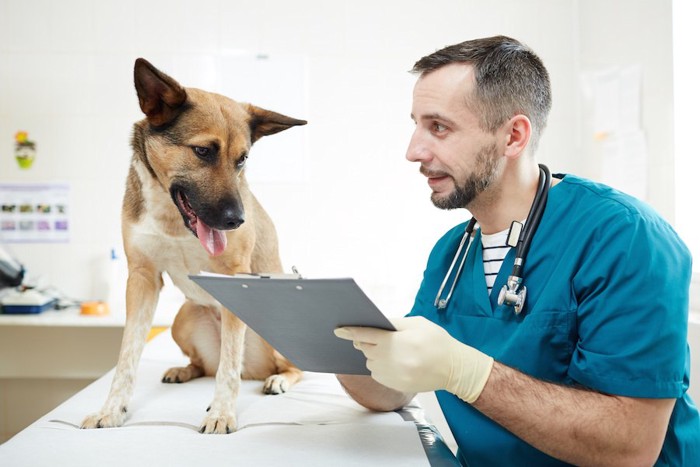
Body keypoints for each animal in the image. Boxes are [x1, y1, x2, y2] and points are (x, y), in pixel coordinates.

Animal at [80, 58, 304, 436]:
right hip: (182, 319)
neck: (174, 221)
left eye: (242, 159)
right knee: (205, 365)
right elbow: (127, 356)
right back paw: (184, 370)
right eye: (203, 151)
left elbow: (228, 369)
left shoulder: (235, 276)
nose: (236, 220)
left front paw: (221, 413)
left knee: (286, 366)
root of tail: (254, 370)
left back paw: (278, 379)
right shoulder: (142, 278)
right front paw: (112, 409)